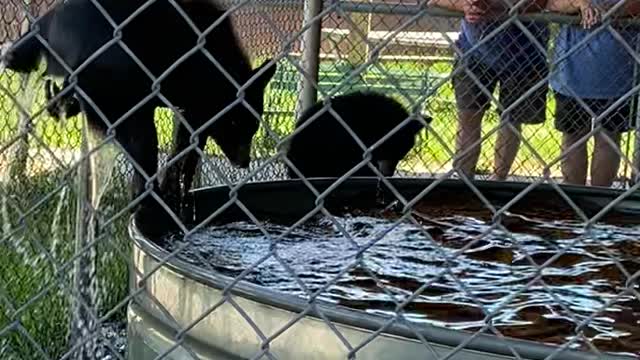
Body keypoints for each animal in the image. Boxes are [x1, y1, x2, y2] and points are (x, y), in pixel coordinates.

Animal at [2, 0, 278, 233]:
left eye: (253, 127)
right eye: (234, 123)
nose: (244, 162)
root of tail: (48, 22)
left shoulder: (193, 116)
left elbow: (184, 157)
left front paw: (178, 197)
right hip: (125, 102)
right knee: (142, 153)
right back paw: (147, 204)